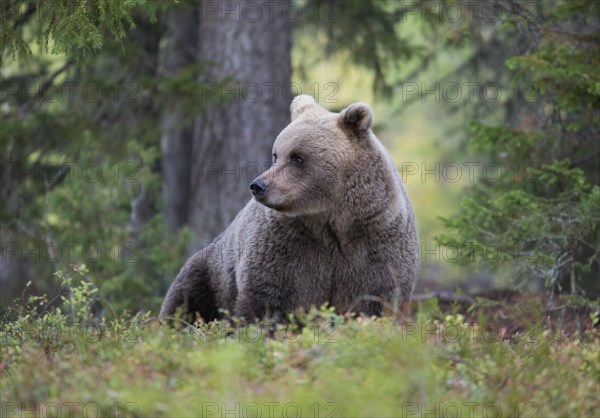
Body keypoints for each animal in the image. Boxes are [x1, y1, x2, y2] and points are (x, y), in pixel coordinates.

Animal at [162, 94, 420, 322]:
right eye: (276, 154)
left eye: (297, 157)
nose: (258, 186)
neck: (332, 220)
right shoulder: (287, 244)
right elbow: (269, 297)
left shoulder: (375, 240)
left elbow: (375, 298)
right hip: (212, 271)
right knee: (187, 299)